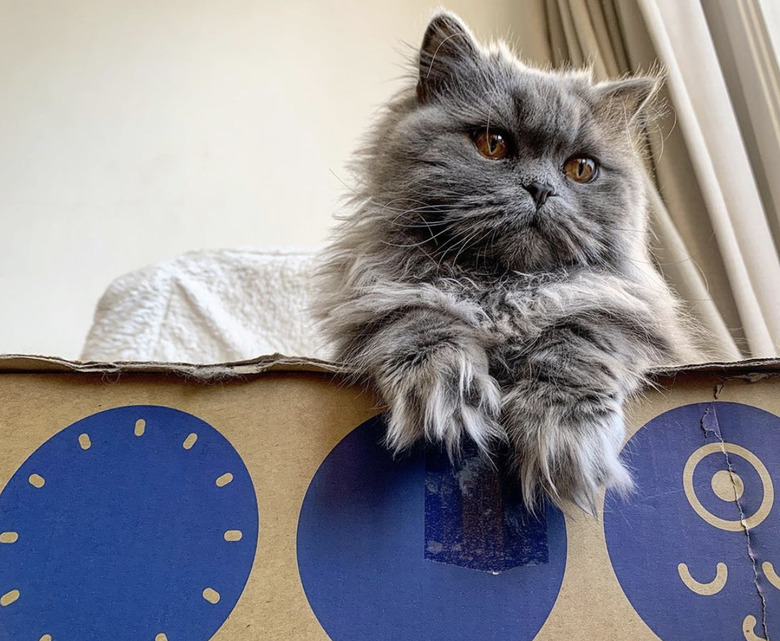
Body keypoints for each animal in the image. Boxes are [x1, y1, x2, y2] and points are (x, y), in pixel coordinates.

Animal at [310, 10, 688, 512]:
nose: (541, 189)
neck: (502, 288)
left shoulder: (622, 314)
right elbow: (422, 317)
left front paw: (562, 439)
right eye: (493, 144)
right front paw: (449, 393)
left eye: (581, 169)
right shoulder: (380, 293)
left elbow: (577, 340)